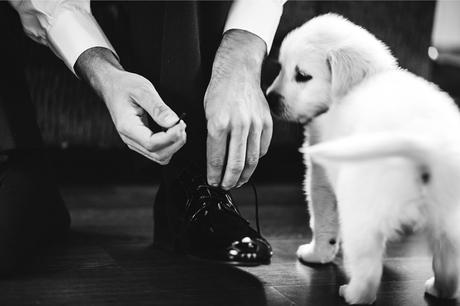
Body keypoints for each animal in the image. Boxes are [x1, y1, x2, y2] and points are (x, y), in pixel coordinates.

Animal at [266, 13, 460, 304]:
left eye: (301, 76)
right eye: (281, 68)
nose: (269, 98)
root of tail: (426, 147)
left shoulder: (320, 174)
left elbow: (321, 220)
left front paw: (316, 255)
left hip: (360, 212)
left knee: (367, 272)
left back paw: (352, 293)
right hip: (449, 221)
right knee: (448, 265)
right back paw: (439, 289)